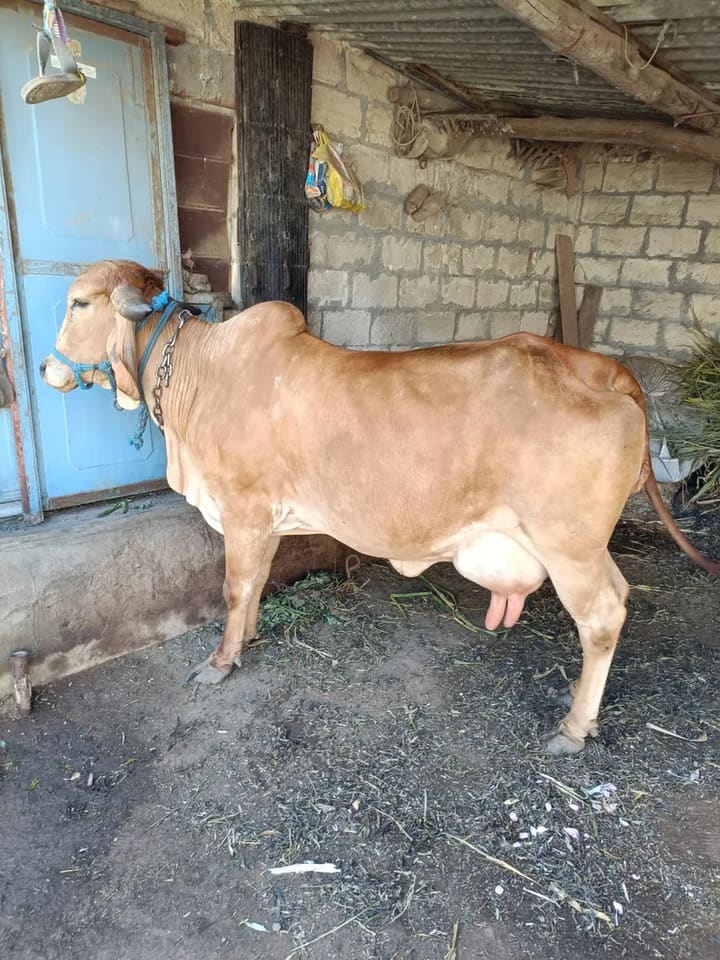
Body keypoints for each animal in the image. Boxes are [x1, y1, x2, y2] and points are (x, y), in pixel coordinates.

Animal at [41, 259, 719, 756]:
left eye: (78, 304)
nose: (45, 366)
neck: (203, 375)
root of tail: (604, 371)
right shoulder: (265, 519)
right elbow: (255, 584)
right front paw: (250, 635)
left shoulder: (242, 509)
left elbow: (234, 586)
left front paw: (222, 660)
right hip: (581, 546)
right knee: (620, 597)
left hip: (568, 546)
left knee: (602, 617)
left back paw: (573, 729)